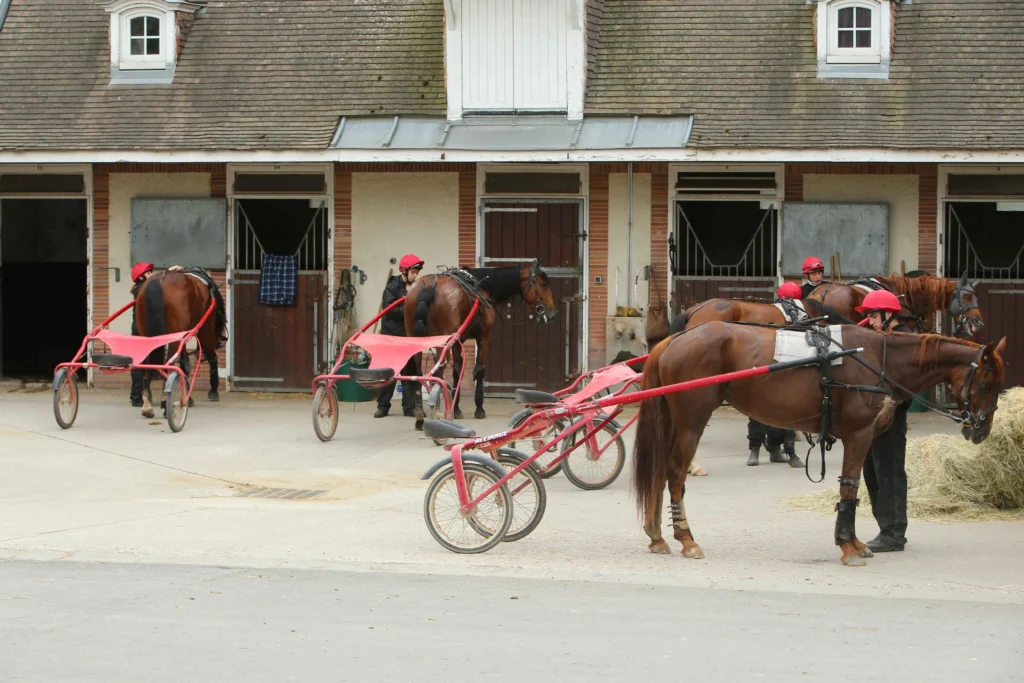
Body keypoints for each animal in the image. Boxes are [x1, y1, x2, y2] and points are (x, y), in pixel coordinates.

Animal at [136, 270, 228, 419]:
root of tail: (159, 280)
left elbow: (184, 364)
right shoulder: (205, 329)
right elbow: (211, 358)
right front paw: (213, 390)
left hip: (146, 335)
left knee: (148, 364)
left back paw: (147, 403)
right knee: (168, 362)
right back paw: (164, 401)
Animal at [401, 264, 561, 419]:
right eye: (543, 284)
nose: (552, 314)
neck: (483, 285)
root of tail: (429, 286)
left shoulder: (459, 340)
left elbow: (457, 370)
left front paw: (456, 408)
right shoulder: (484, 336)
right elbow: (479, 369)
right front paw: (479, 408)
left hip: (416, 339)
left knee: (418, 371)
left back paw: (420, 409)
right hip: (443, 340)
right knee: (438, 369)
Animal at [630, 323, 1007, 569]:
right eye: (986, 382)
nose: (981, 430)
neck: (879, 359)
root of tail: (676, 338)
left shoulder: (865, 437)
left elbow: (855, 490)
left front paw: (854, 542)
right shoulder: (858, 435)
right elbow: (849, 488)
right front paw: (847, 546)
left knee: (659, 473)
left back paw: (656, 535)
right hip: (692, 422)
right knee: (675, 474)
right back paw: (686, 539)